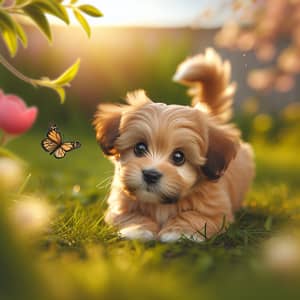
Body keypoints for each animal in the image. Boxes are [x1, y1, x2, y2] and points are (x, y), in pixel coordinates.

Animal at [93, 48, 253, 241]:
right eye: (140, 148)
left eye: (179, 157)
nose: (150, 175)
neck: (161, 204)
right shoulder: (120, 206)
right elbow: (131, 215)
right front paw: (138, 229)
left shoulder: (215, 211)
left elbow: (194, 216)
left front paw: (179, 231)